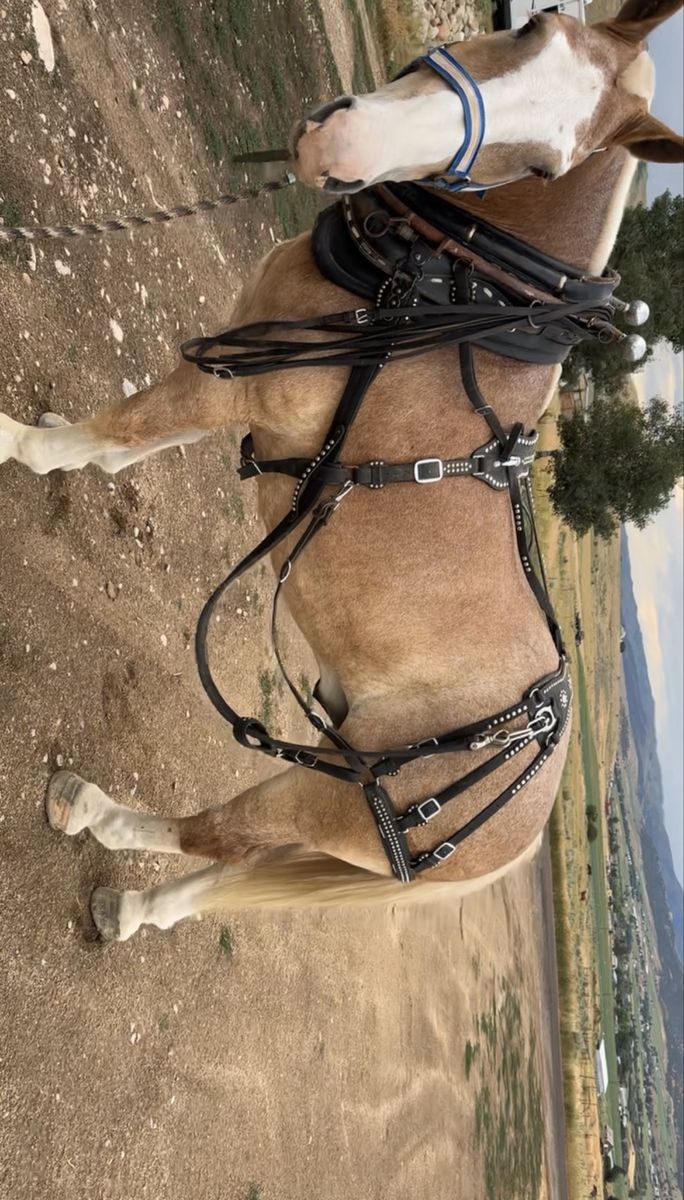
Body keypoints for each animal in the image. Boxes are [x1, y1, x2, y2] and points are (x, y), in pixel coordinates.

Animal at [1, 0, 682, 941]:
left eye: (550, 164)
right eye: (533, 25)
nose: (341, 145)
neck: (441, 296)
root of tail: (525, 823)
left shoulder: (232, 382)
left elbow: (114, 431)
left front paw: (14, 441)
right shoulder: (234, 369)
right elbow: (121, 445)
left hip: (331, 800)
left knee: (218, 838)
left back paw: (96, 815)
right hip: (337, 774)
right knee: (226, 871)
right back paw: (133, 910)